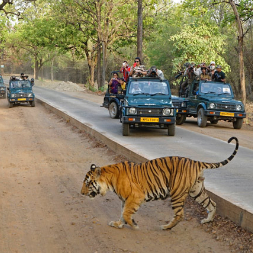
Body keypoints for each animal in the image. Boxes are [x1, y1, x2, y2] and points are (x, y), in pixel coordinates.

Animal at [81, 137, 239, 230]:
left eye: (88, 183)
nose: (81, 193)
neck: (109, 180)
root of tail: (195, 162)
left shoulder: (135, 197)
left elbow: (126, 213)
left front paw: (134, 225)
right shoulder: (125, 199)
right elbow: (122, 213)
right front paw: (118, 224)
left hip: (177, 193)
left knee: (180, 214)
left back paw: (166, 227)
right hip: (197, 190)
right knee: (212, 203)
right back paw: (207, 220)